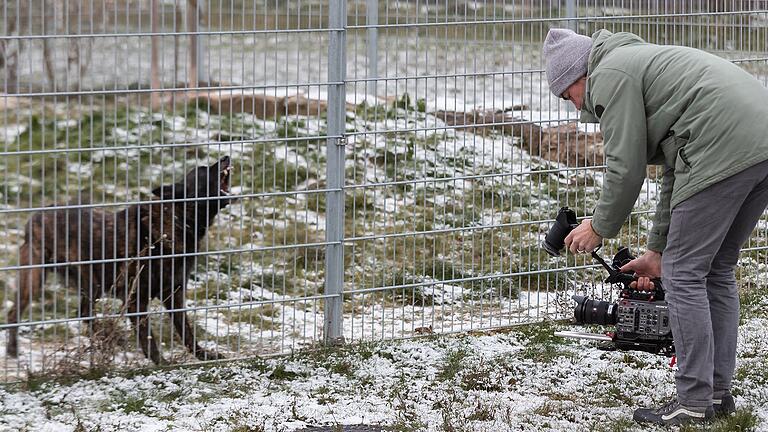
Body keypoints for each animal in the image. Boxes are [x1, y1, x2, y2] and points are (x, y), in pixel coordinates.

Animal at [6, 157, 234, 362]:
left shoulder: (174, 294)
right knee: (16, 313)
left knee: (84, 312)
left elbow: (187, 332)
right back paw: (12, 350)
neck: (177, 220)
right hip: (41, 277)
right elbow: (147, 337)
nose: (226, 157)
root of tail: (36, 215)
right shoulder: (135, 298)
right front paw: (161, 363)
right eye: (203, 170)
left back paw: (109, 338)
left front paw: (204, 355)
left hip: (92, 284)